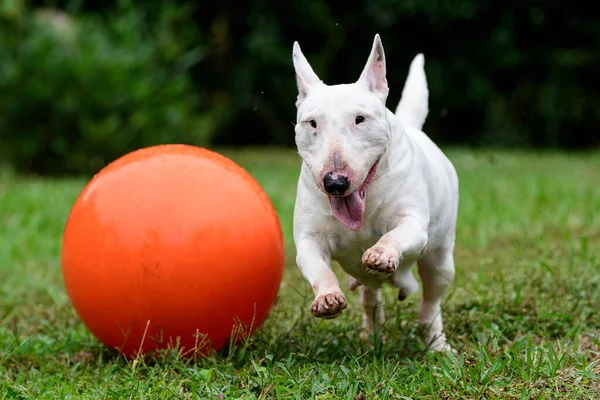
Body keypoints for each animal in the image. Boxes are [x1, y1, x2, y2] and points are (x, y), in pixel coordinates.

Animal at [292, 35, 460, 354]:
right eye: (312, 123)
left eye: (360, 119)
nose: (335, 183)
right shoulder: (308, 238)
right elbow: (317, 265)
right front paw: (328, 298)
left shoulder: (413, 222)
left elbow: (398, 233)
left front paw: (381, 253)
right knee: (372, 297)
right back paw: (371, 334)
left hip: (441, 260)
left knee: (430, 302)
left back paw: (437, 344)